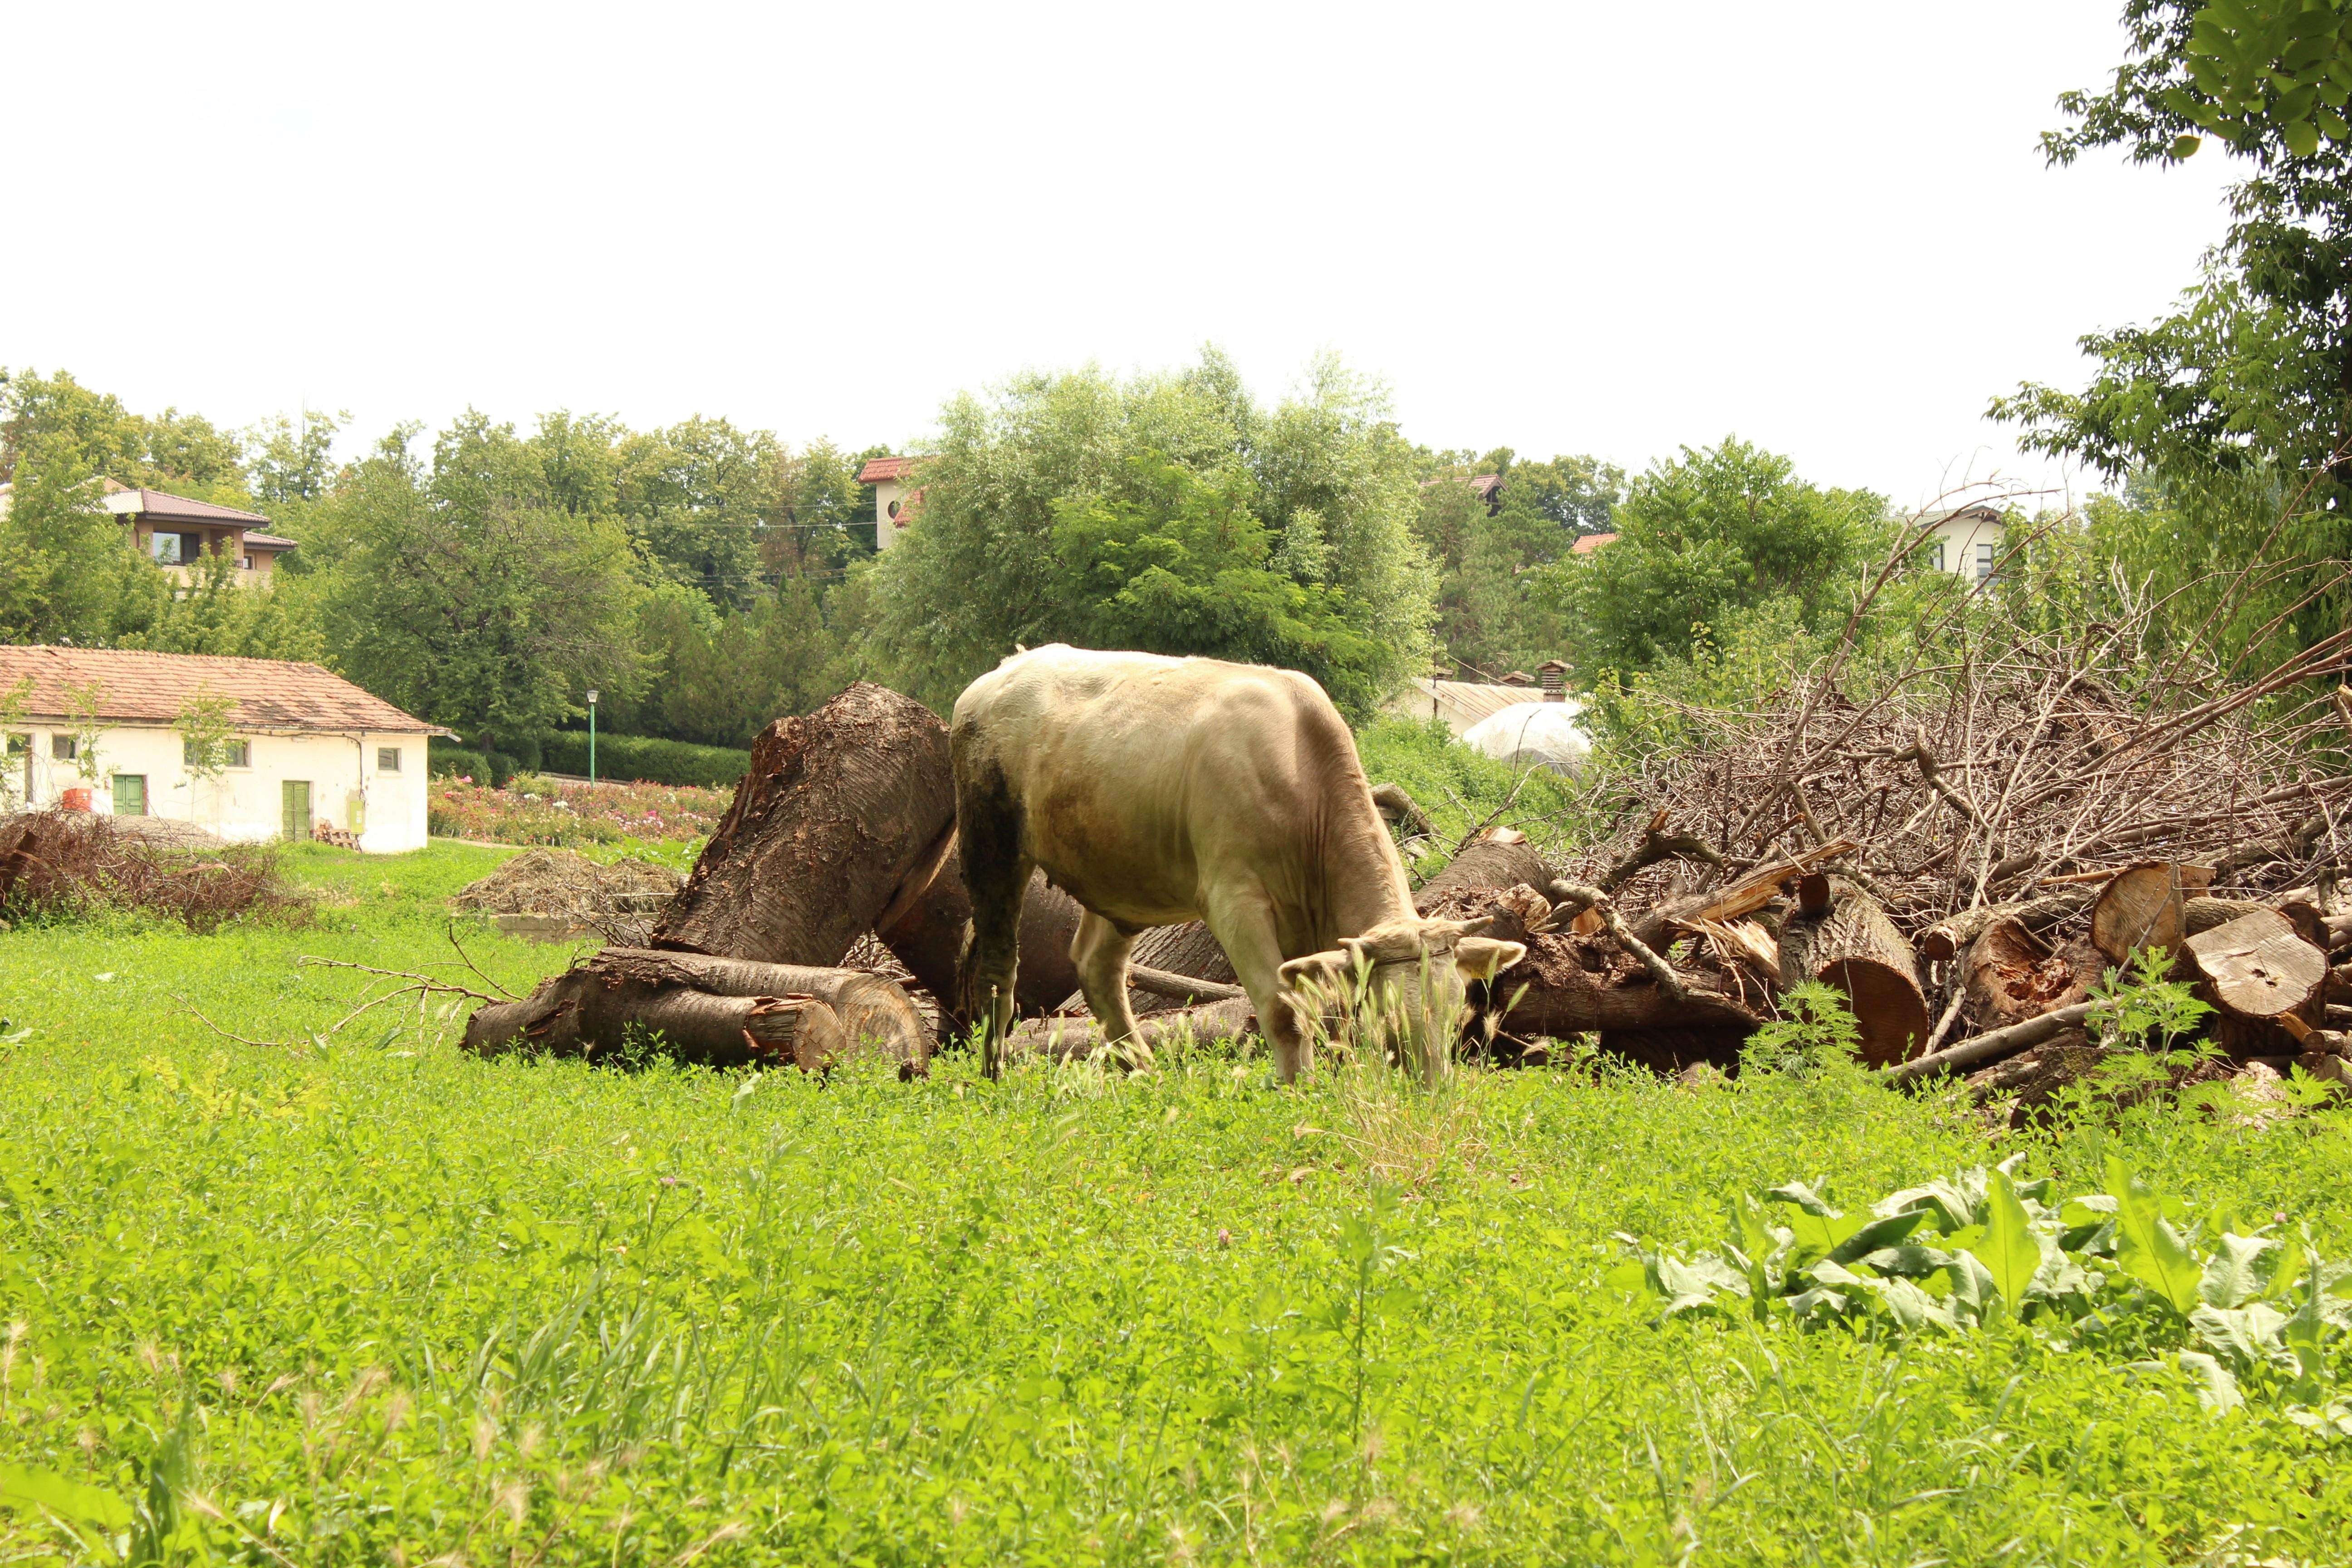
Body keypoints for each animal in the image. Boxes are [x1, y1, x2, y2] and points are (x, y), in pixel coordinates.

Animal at [950, 649, 1524, 1081]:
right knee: (999, 965)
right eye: (1387, 1019)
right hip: (990, 840)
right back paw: (995, 1076)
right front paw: (1303, 1091)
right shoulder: (1235, 901)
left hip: (1119, 874)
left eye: (1456, 1014)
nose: (1432, 1093)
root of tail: (1001, 672)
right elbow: (1283, 1010)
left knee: (1097, 967)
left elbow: (1321, 1009)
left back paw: (1147, 1075)